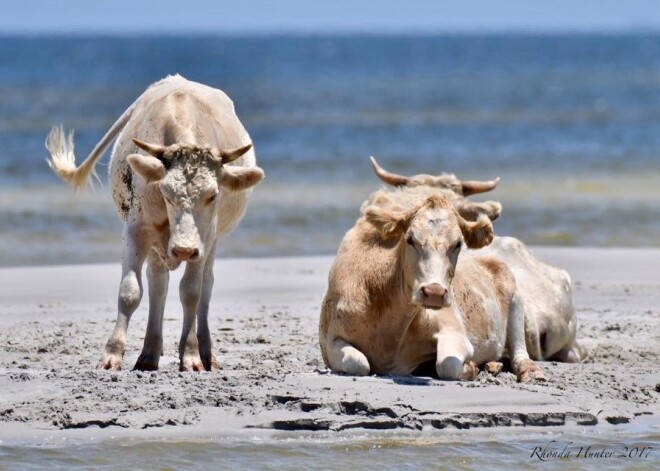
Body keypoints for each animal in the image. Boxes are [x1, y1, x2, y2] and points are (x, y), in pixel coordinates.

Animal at [46, 74, 264, 372]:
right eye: (165, 192)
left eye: (213, 195)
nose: (184, 249)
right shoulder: (137, 229)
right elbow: (130, 291)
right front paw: (111, 355)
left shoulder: (205, 238)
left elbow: (191, 292)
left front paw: (191, 356)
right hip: (157, 244)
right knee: (157, 283)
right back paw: (149, 353)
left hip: (211, 242)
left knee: (205, 285)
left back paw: (206, 353)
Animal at [318, 195, 544, 384]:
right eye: (410, 239)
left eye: (458, 243)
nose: (434, 292)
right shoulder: (332, 340)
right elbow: (358, 363)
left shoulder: (454, 330)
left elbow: (447, 364)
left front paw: (471, 367)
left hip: (515, 298)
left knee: (519, 352)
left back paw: (530, 372)